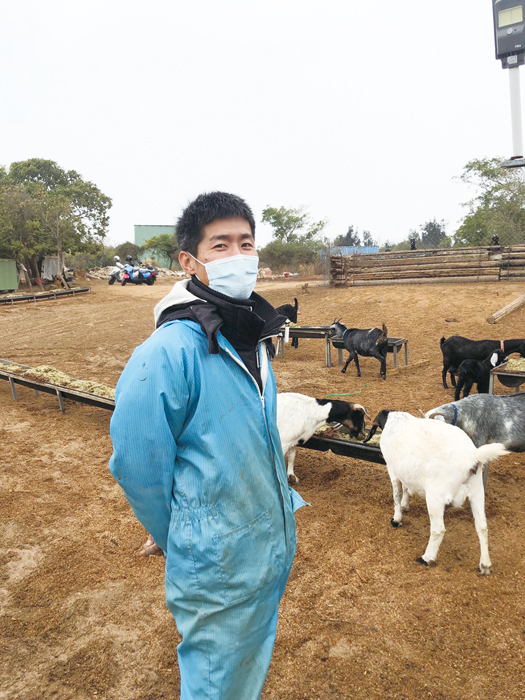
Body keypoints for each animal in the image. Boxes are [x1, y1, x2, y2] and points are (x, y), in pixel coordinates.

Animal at [362, 410, 506, 576]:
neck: (396, 420)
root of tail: (473, 457)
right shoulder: (404, 470)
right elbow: (405, 488)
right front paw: (405, 505)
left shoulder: (393, 470)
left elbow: (397, 494)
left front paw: (396, 519)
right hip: (477, 491)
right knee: (482, 526)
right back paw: (485, 565)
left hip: (435, 496)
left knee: (438, 529)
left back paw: (426, 558)